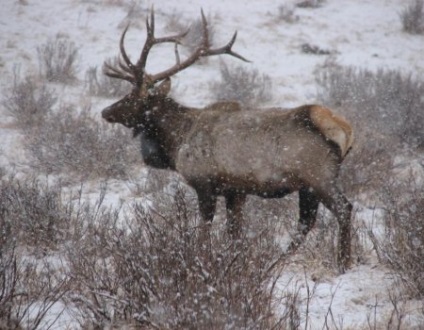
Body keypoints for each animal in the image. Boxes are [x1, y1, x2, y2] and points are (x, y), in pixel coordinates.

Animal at [101, 10, 352, 274]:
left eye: (132, 97)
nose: (106, 111)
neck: (177, 139)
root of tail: (344, 130)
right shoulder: (235, 190)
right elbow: (234, 232)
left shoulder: (204, 183)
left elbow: (205, 230)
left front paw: (202, 261)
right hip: (307, 185)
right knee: (306, 221)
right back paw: (277, 262)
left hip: (318, 177)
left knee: (343, 209)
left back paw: (342, 263)